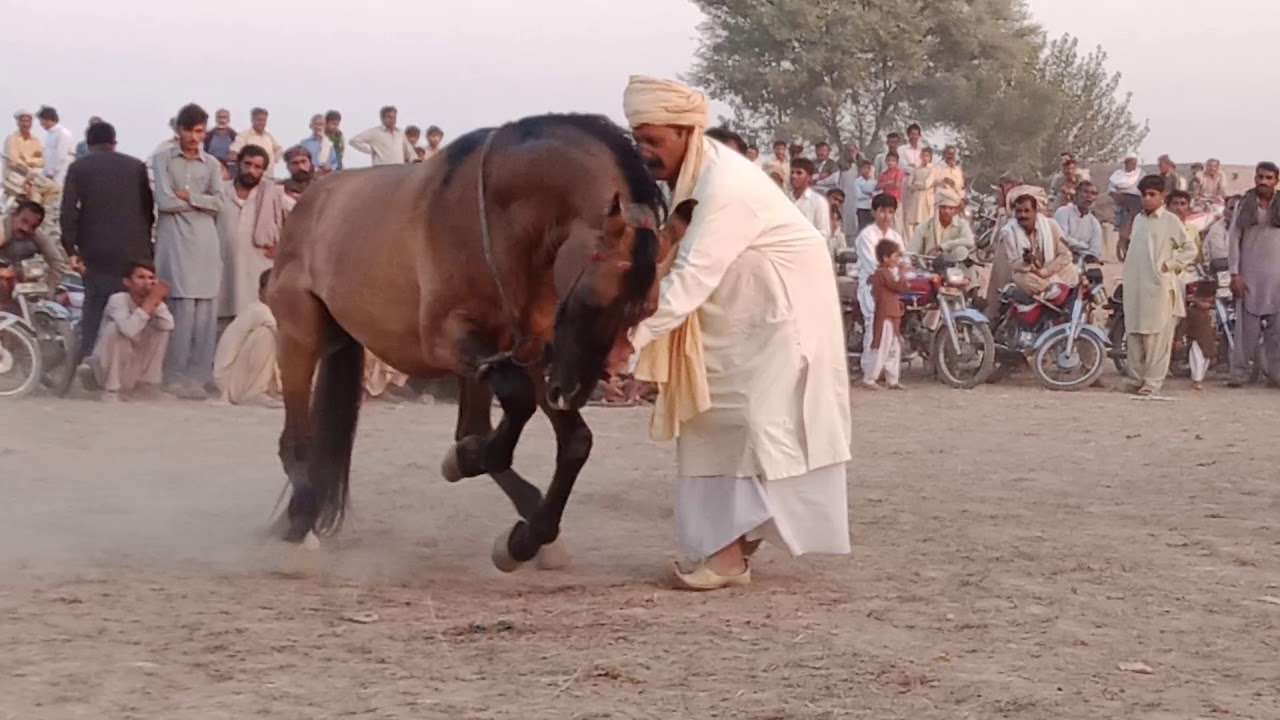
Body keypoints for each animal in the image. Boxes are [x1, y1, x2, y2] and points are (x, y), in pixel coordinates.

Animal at [266, 113, 685, 572]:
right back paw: (300, 518)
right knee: (293, 442)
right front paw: (471, 460)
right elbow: (514, 407)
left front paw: (526, 535)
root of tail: (312, 201)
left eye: (644, 310)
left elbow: (572, 441)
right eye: (592, 298)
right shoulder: (447, 339)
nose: (572, 391)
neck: (501, 223)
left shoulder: (530, 350)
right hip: (298, 335)